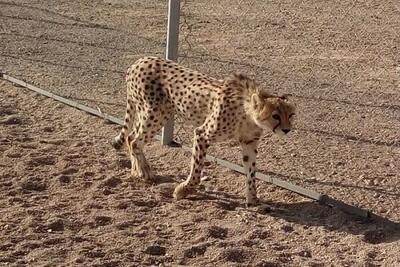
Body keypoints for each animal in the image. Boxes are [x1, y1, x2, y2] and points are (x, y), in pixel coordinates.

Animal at [111, 56, 296, 206]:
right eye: (275, 116)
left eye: (291, 115)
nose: (287, 130)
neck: (247, 113)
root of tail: (139, 61)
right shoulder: (202, 134)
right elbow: (197, 167)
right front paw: (184, 190)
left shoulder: (249, 142)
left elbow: (251, 172)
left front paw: (253, 199)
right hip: (156, 114)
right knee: (134, 140)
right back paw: (144, 170)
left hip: (149, 113)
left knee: (130, 137)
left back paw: (136, 170)